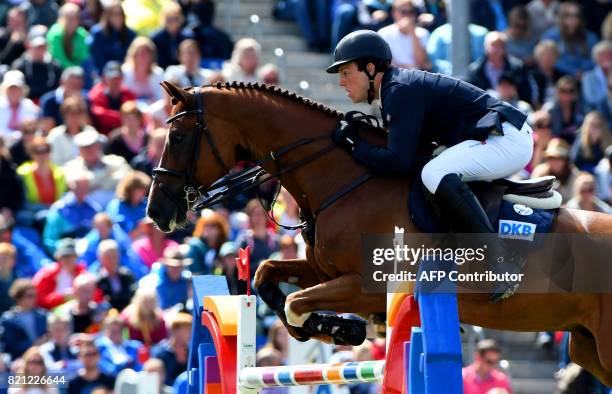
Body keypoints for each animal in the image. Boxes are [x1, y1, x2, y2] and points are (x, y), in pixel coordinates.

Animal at [147, 81, 612, 386]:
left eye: (178, 135)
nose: (157, 212)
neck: (344, 176)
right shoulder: (325, 271)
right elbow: (265, 276)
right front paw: (329, 329)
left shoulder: (365, 284)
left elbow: (296, 304)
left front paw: (341, 329)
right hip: (587, 347)